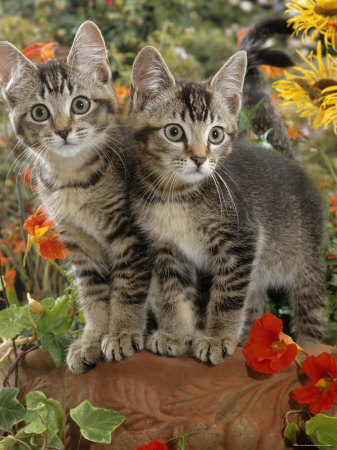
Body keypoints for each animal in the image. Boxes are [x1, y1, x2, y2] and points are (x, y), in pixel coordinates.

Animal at [0, 21, 150, 372]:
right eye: (39, 112)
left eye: (80, 105)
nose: (63, 130)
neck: (74, 181)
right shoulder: (78, 243)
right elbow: (92, 297)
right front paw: (92, 338)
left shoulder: (130, 232)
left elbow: (128, 285)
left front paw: (122, 333)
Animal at [128, 37, 326, 364]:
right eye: (174, 132)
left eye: (216, 135)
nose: (199, 159)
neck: (177, 197)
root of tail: (289, 161)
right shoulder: (165, 250)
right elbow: (172, 295)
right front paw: (175, 335)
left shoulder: (242, 241)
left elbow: (228, 297)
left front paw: (217, 338)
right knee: (254, 301)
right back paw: (246, 341)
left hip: (307, 262)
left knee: (312, 310)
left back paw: (313, 352)